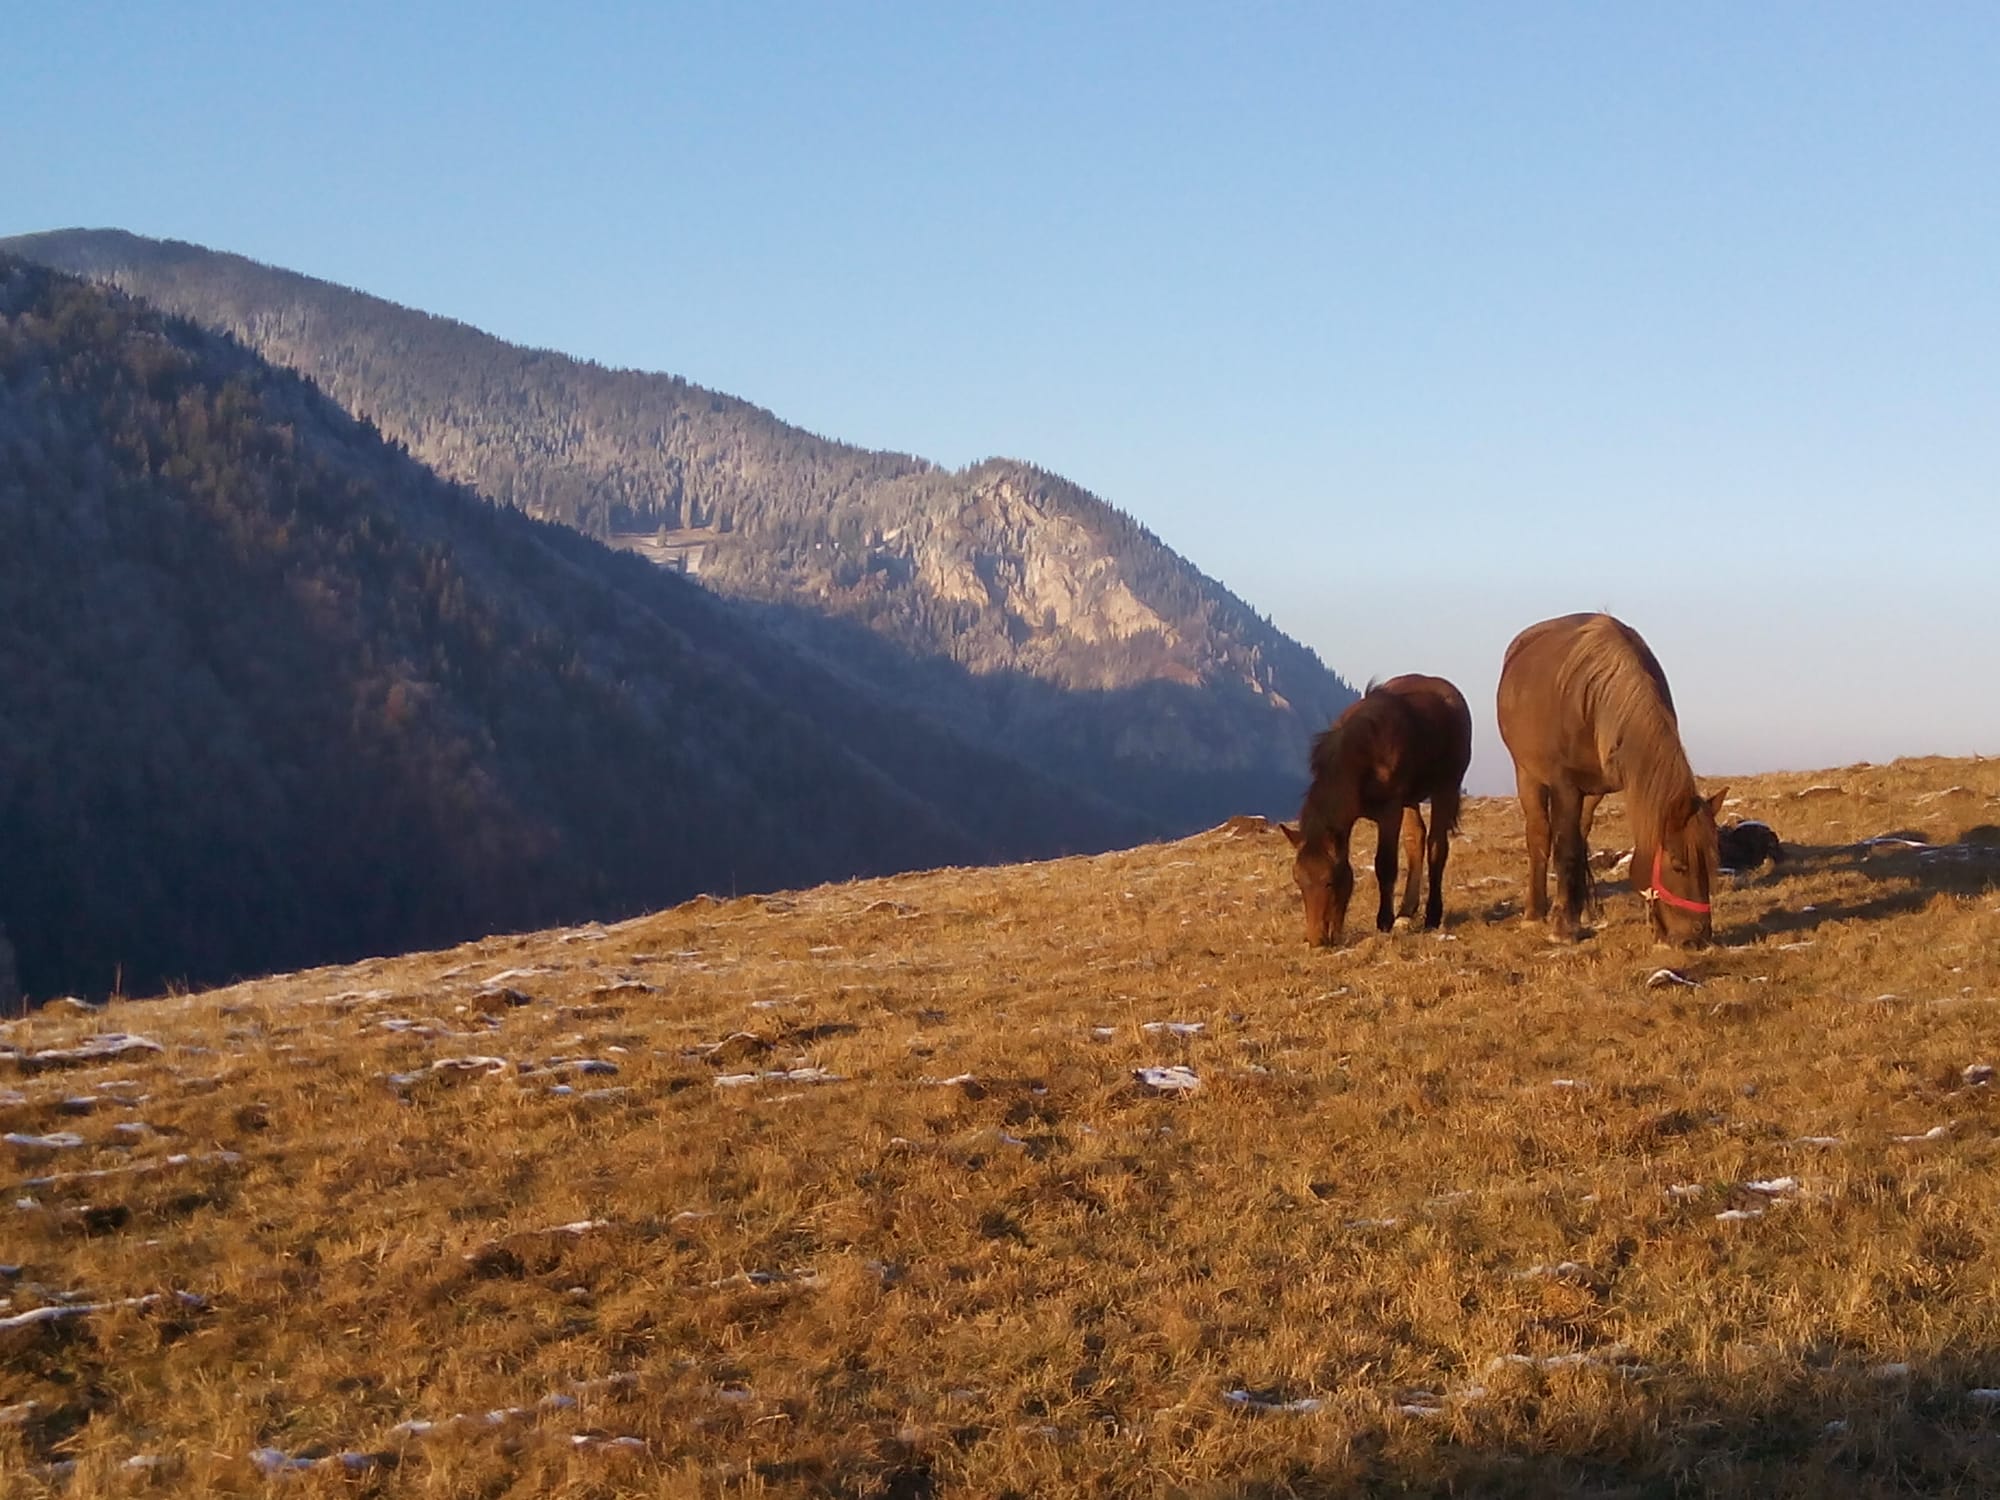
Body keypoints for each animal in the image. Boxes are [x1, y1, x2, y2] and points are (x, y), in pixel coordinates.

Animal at [1280, 676, 1472, 944]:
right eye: (1298, 880)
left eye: (1329, 881)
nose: (1317, 940)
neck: (1363, 754)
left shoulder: (1390, 812)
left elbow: (1385, 865)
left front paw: (1384, 921)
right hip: (1410, 800)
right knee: (1416, 840)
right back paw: (1406, 912)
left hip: (1445, 786)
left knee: (1436, 845)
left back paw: (1432, 915)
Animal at [1496, 612, 1728, 944]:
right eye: (1678, 865)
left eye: (1711, 863)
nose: (1698, 937)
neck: (1593, 702)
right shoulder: (1564, 786)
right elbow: (1565, 850)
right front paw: (1563, 928)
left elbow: (1577, 844)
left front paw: (1574, 916)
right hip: (1527, 775)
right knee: (1539, 835)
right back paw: (1535, 912)